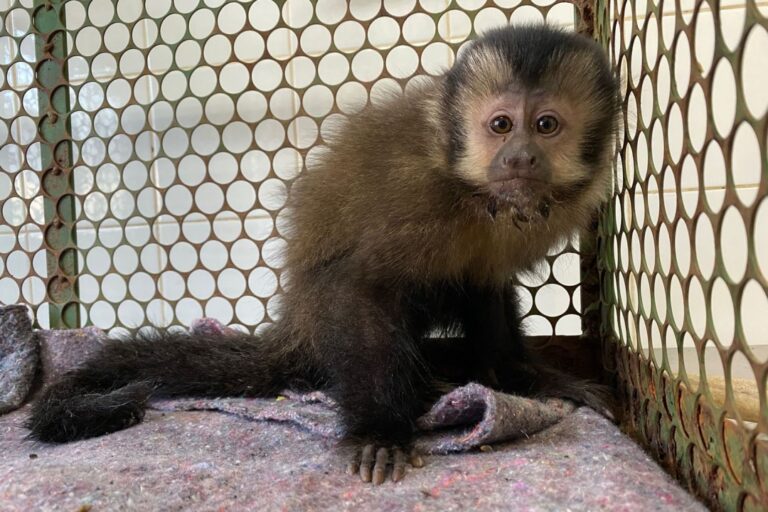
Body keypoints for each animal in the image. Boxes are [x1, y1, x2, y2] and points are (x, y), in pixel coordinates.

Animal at [26, 25, 620, 485]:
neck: (475, 195)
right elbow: (358, 288)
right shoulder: (415, 195)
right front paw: (380, 430)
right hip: (321, 325)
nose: (520, 157)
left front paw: (524, 379)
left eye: (545, 125)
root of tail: (295, 328)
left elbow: (488, 285)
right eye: (501, 125)